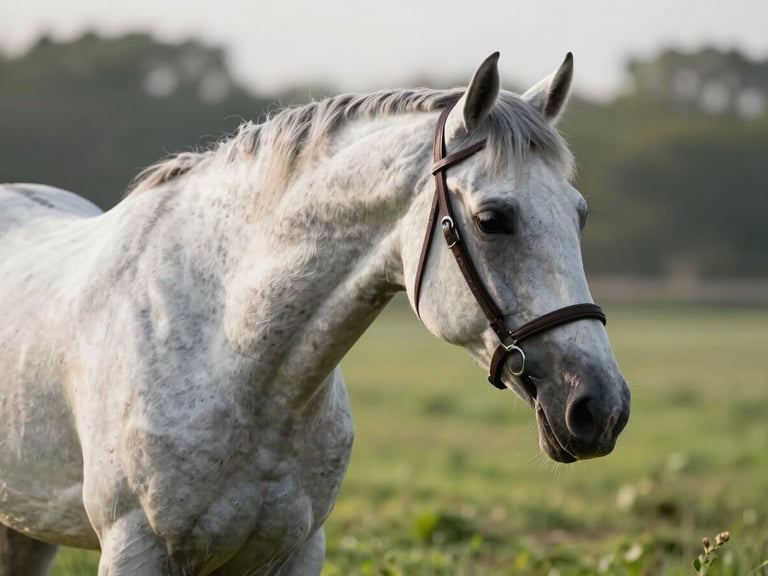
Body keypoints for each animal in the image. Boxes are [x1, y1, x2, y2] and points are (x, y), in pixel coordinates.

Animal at [0, 52, 630, 575]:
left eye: (579, 214)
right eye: (492, 220)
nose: (602, 408)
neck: (228, 352)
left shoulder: (297, 551)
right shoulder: (136, 548)